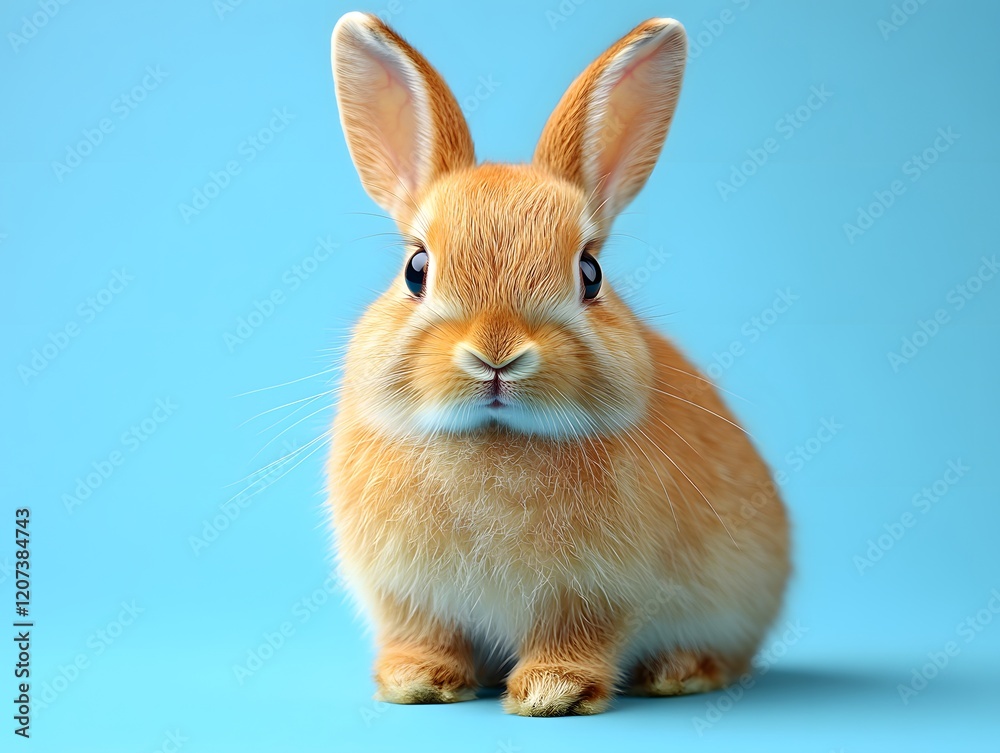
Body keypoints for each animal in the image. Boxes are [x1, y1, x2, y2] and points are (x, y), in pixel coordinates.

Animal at [327, 11, 790, 717]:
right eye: (416, 270)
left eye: (590, 273)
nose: (497, 355)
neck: (494, 439)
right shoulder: (409, 598)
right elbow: (425, 635)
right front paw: (418, 682)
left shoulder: (597, 596)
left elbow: (576, 639)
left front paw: (553, 693)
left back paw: (680, 672)